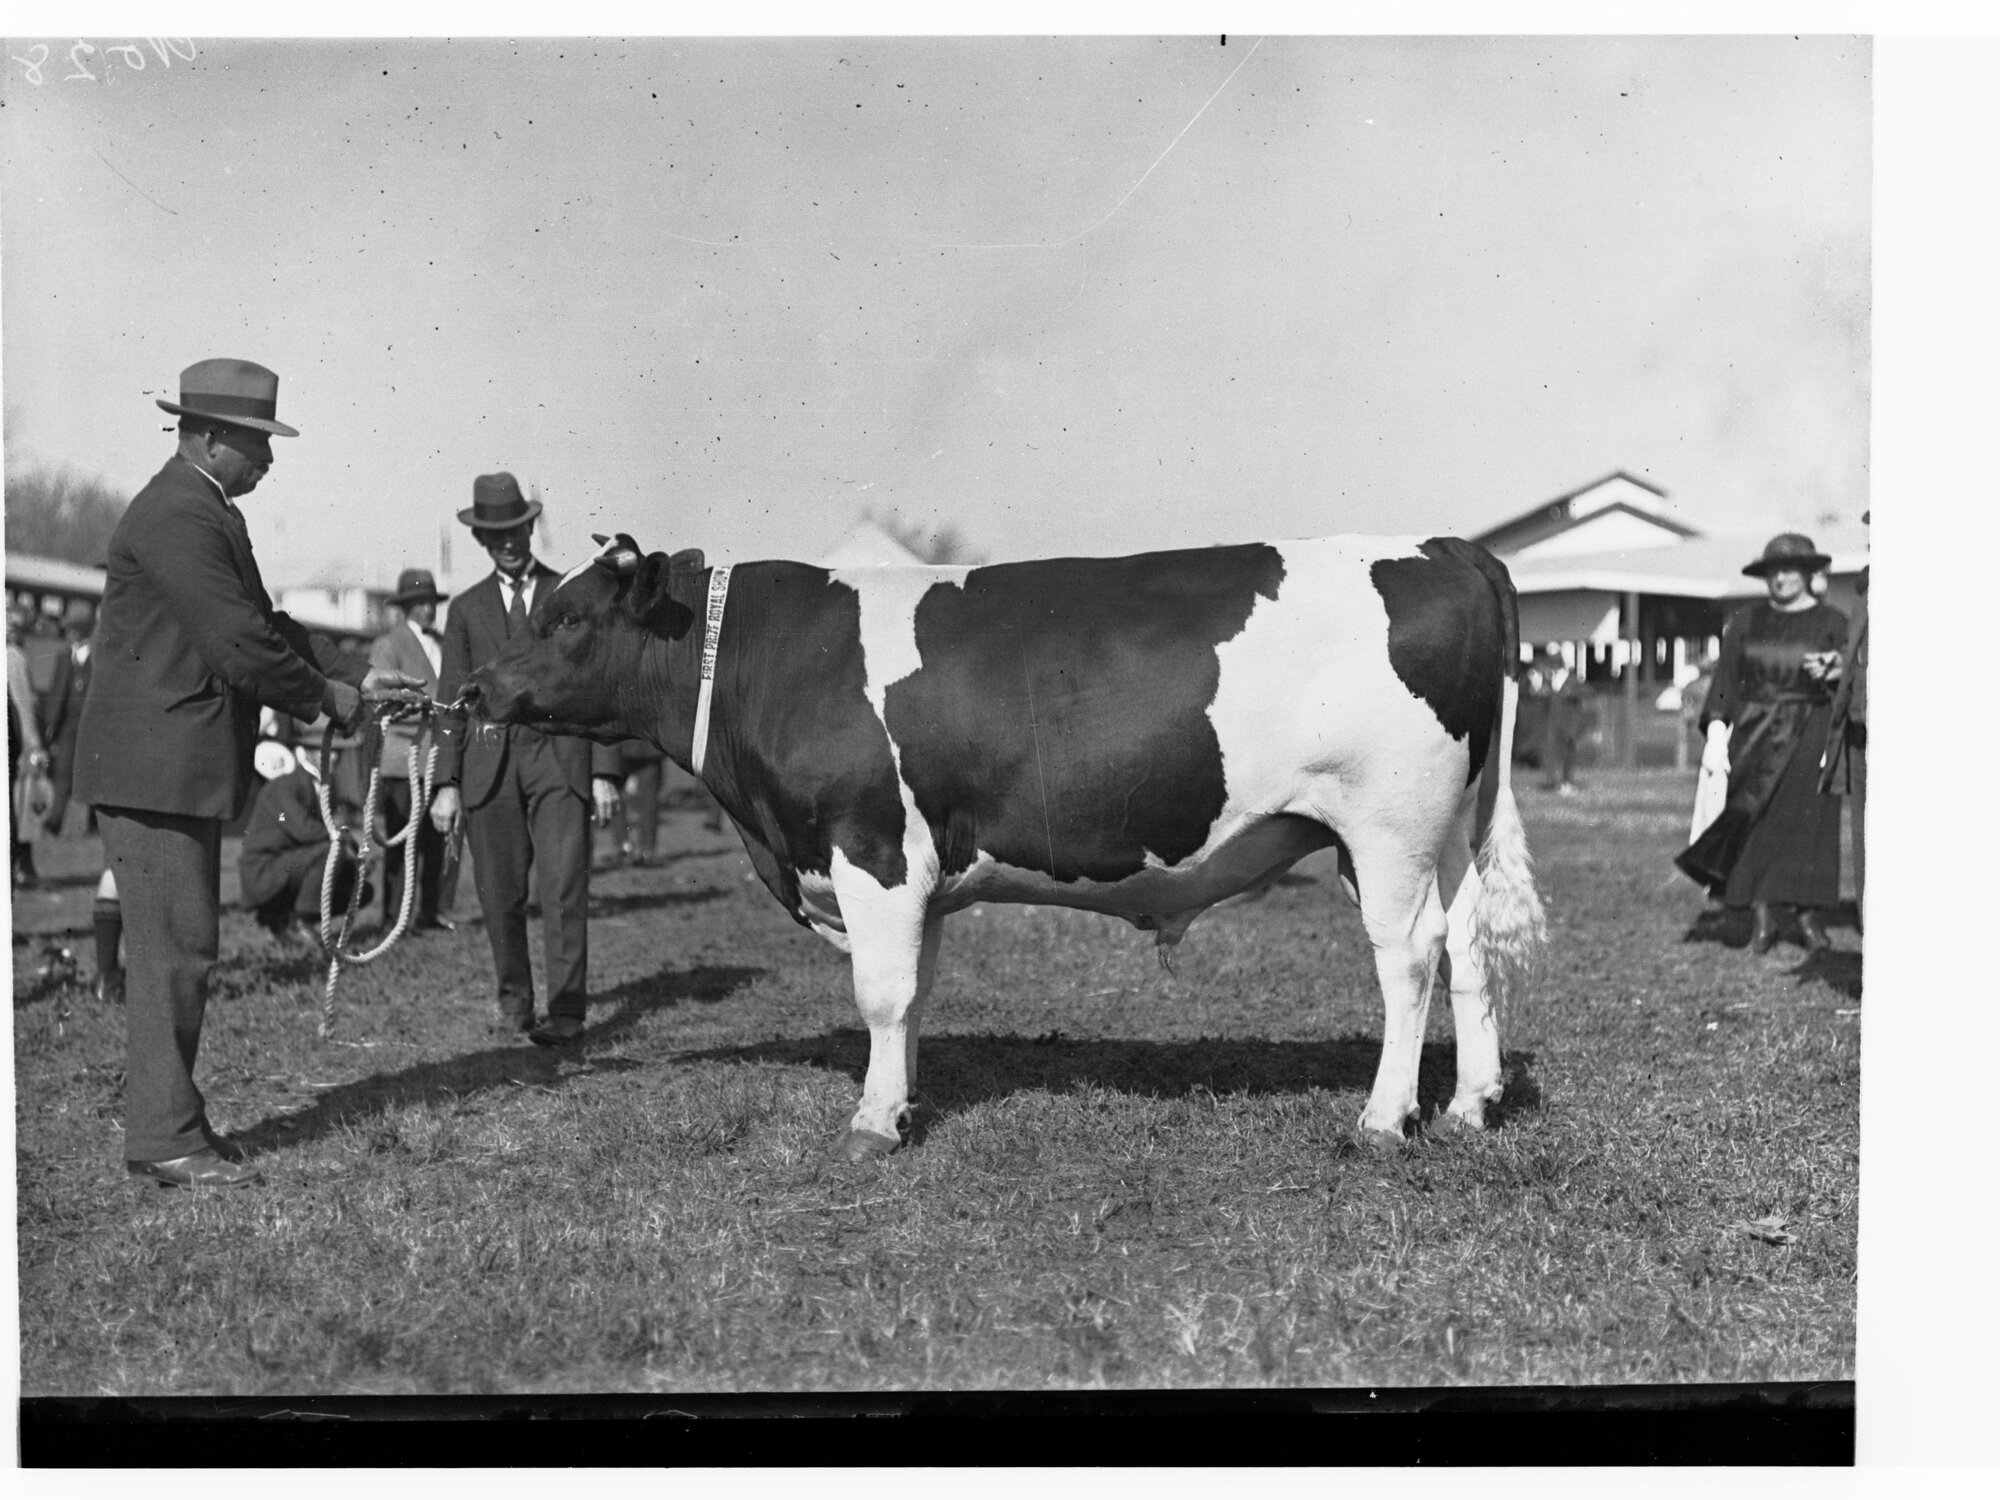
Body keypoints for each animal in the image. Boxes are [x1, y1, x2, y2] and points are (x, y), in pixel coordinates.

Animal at [458, 532, 1546, 1160]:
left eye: (564, 616)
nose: (472, 688)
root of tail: (1442, 545)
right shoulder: (915, 867)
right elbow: (913, 994)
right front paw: (901, 1103)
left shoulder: (871, 844)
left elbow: (880, 992)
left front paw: (871, 1127)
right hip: (1441, 831)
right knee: (1463, 945)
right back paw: (1468, 1105)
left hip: (1385, 827)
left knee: (1407, 958)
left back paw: (1383, 1123)